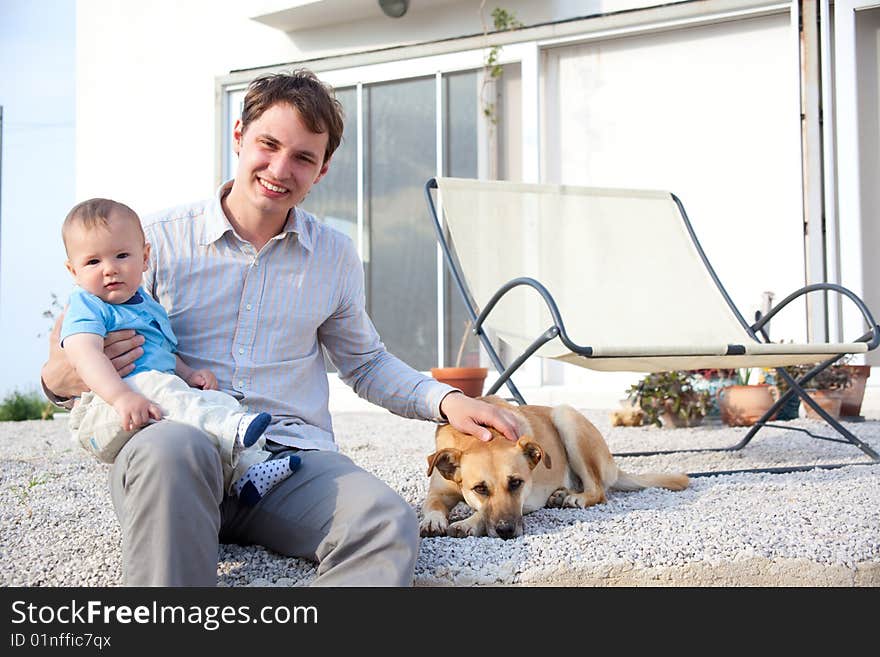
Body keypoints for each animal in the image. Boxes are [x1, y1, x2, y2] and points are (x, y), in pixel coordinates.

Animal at [420, 394, 688, 540]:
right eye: (480, 489)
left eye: (516, 483)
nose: (506, 530)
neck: (483, 437)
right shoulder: (439, 492)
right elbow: (432, 504)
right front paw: (433, 520)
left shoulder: (527, 501)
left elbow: (481, 514)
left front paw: (467, 523)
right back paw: (562, 493)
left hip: (566, 417)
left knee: (598, 490)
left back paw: (576, 498)